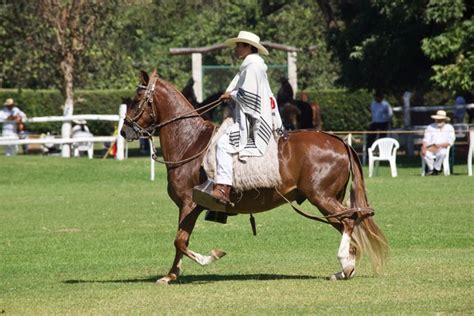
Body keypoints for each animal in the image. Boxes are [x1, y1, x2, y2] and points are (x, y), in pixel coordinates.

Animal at [120, 70, 386, 286]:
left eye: (137, 100)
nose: (124, 130)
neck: (190, 143)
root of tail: (340, 141)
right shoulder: (186, 207)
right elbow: (180, 241)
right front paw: (170, 275)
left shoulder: (190, 204)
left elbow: (180, 241)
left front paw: (211, 257)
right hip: (327, 200)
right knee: (348, 224)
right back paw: (345, 269)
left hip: (322, 197)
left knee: (349, 221)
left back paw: (346, 265)